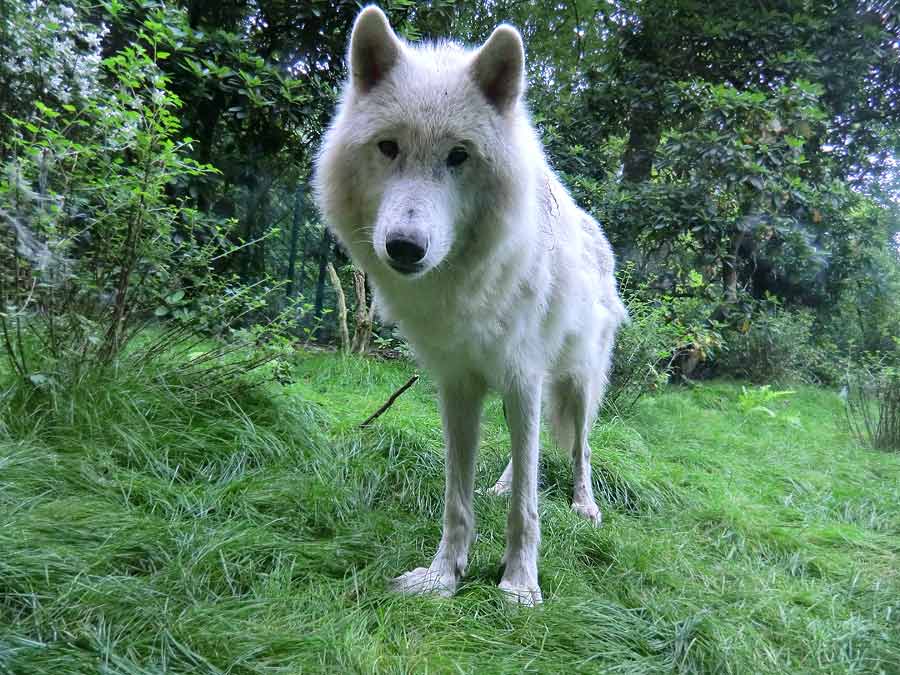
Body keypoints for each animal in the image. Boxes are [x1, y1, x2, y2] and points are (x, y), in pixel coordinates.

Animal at [314, 5, 624, 608]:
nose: (404, 247)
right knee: (524, 456)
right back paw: (500, 480)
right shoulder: (458, 385)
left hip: (577, 382)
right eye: (388, 147)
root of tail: (596, 229)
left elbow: (526, 508)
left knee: (578, 449)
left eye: (458, 156)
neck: (467, 284)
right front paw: (443, 576)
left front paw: (519, 583)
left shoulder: (522, 378)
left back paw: (584, 504)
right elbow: (458, 499)